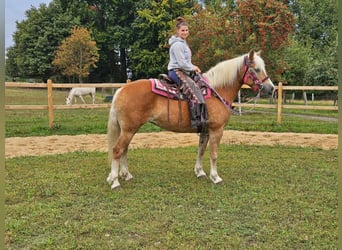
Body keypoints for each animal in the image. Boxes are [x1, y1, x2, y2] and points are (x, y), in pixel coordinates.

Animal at [107, 49, 276, 188]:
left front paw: (200, 172)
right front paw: (215, 177)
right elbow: (214, 154)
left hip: (129, 130)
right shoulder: (217, 130)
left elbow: (201, 150)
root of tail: (122, 90)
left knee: (124, 150)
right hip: (129, 130)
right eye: (257, 69)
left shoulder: (205, 130)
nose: (271, 88)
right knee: (117, 150)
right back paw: (115, 181)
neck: (217, 91)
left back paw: (126, 175)